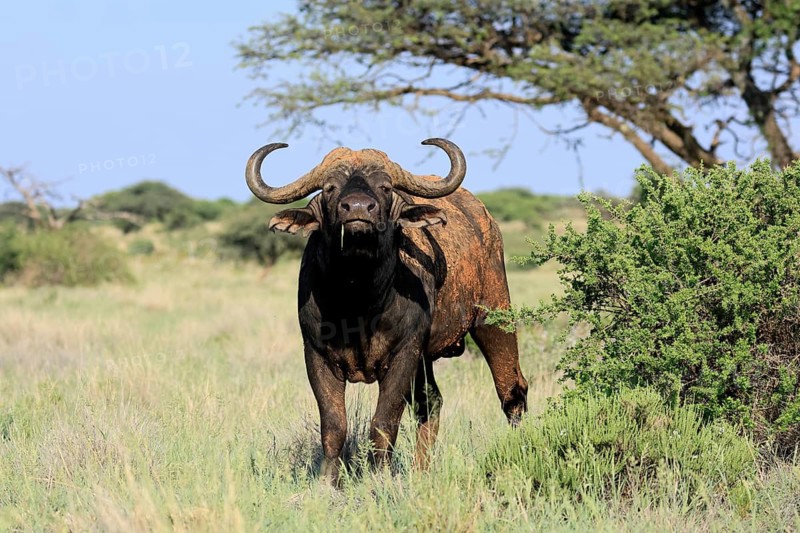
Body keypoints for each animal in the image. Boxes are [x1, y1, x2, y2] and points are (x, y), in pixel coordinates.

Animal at [245, 138, 528, 483]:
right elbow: (334, 426)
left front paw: (380, 477)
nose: (357, 209)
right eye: (329, 187)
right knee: (431, 403)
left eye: (385, 187)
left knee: (512, 391)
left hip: (495, 316)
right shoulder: (316, 356)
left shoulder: (403, 355)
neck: (358, 299)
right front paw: (328, 482)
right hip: (426, 360)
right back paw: (421, 471)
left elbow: (383, 423)